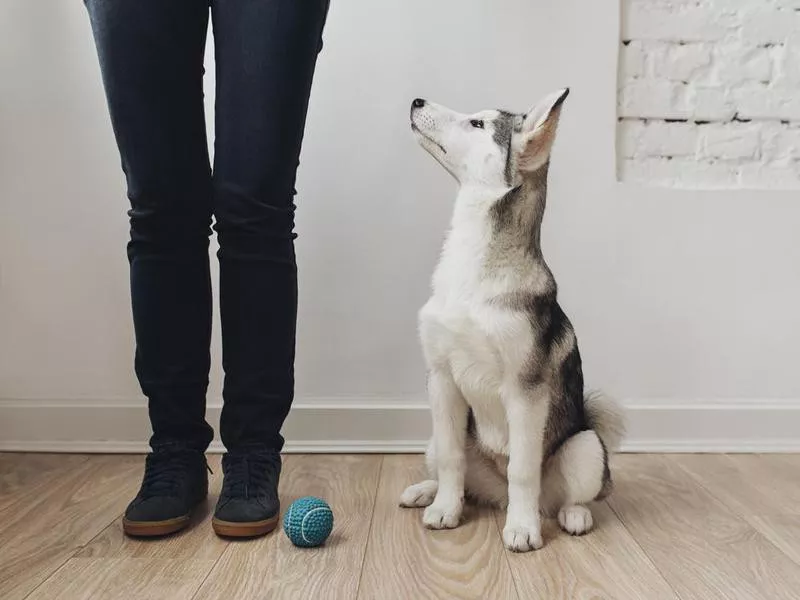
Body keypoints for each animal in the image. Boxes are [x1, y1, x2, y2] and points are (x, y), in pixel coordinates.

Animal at [400, 90, 624, 552]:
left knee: (563, 496)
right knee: (459, 475)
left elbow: (523, 470)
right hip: (436, 438)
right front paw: (445, 509)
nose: (416, 100)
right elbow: (451, 459)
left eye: (478, 124)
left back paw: (572, 515)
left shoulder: (525, 391)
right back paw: (427, 492)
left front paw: (521, 529)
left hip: (586, 446)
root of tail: (496, 495)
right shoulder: (441, 380)